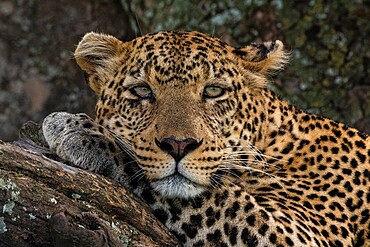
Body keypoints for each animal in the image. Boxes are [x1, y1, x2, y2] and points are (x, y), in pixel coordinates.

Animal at [42, 30, 368, 247]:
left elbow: (219, 197)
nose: (178, 145)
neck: (273, 143)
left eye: (213, 91)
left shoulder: (299, 236)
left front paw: (80, 132)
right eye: (142, 90)